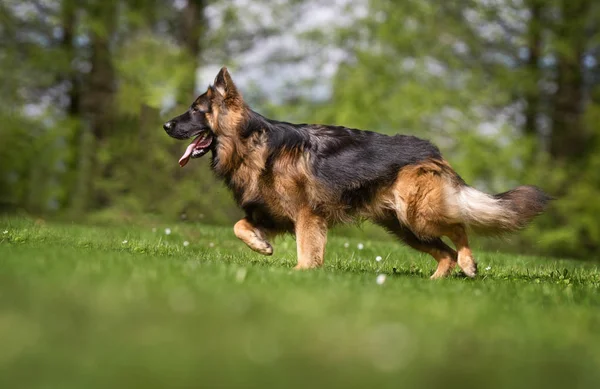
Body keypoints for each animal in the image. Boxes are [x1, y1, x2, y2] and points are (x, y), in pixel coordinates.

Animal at [162, 67, 552, 278]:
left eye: (195, 110)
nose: (165, 124)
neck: (251, 143)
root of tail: (433, 152)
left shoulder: (307, 216)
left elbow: (306, 250)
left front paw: (301, 274)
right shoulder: (269, 214)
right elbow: (239, 226)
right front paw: (262, 246)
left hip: (418, 215)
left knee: (458, 228)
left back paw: (469, 264)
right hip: (404, 227)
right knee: (445, 253)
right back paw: (434, 282)